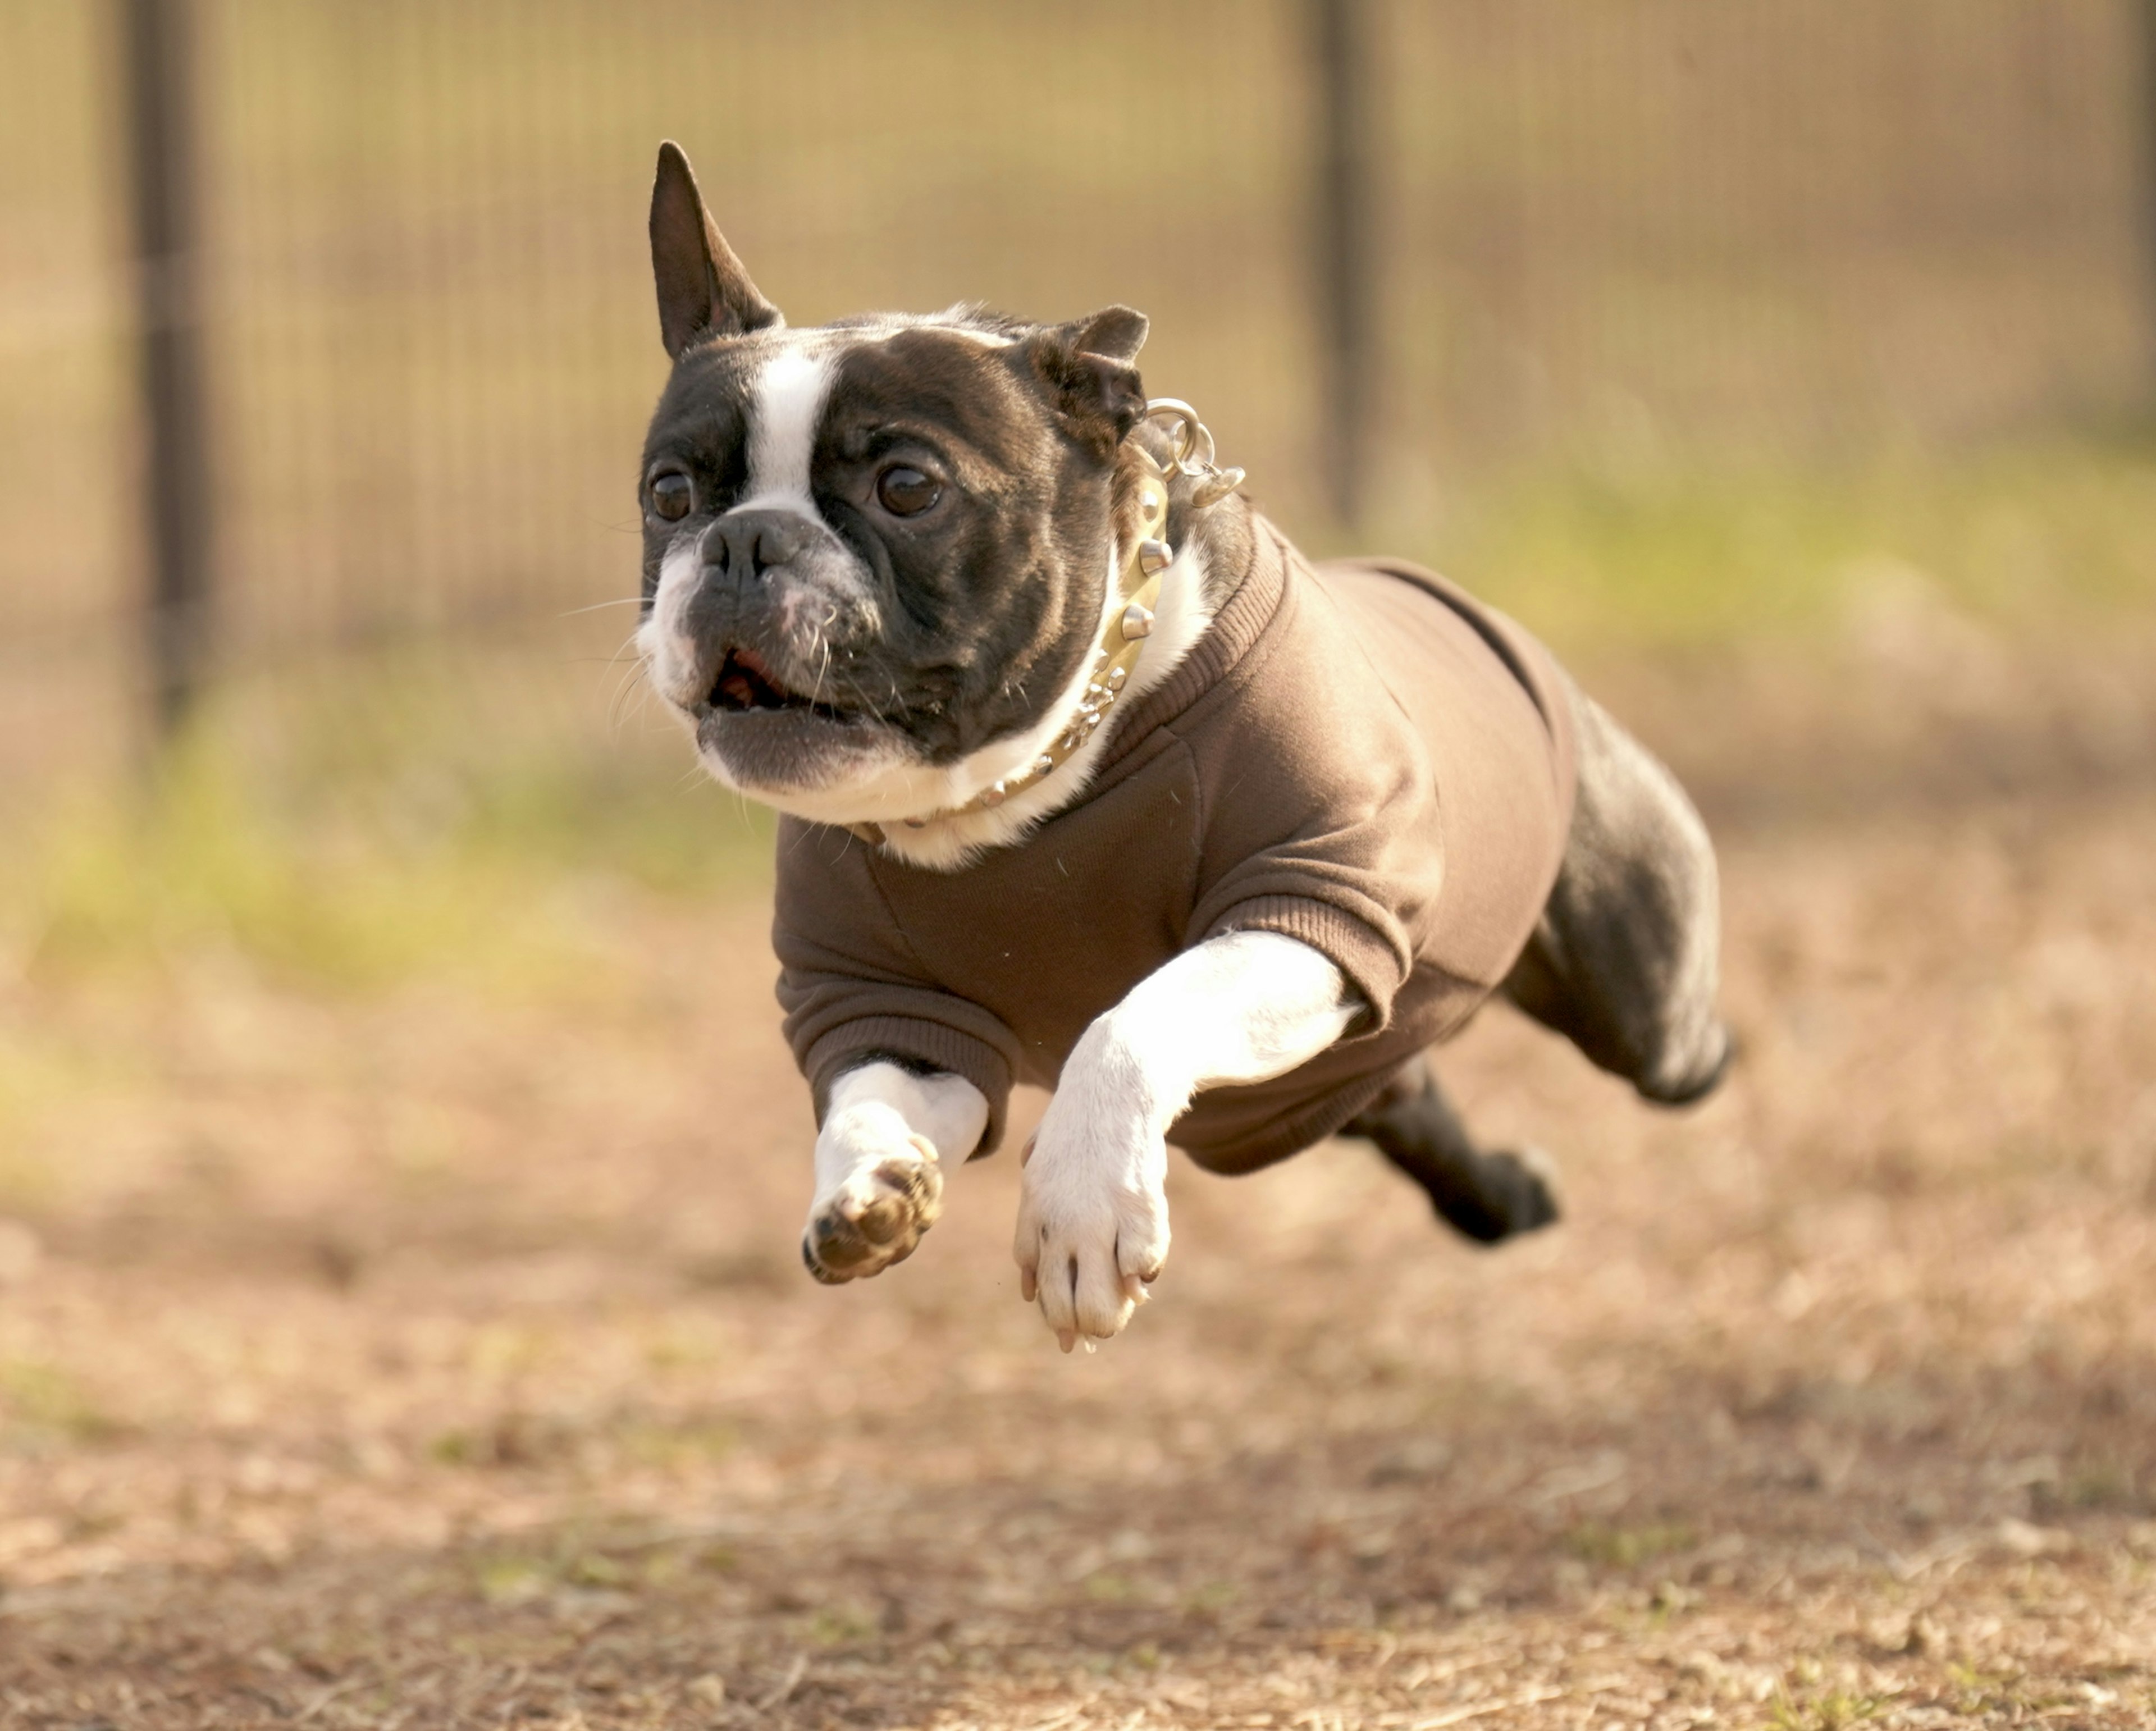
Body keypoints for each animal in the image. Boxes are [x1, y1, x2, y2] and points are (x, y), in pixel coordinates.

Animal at [629, 142, 1725, 1354]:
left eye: (907, 486)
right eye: (669, 493)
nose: (744, 542)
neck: (1022, 790)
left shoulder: (1312, 898)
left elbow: (1137, 1013)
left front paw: (1081, 1209)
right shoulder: (883, 1008)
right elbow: (863, 1107)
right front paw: (869, 1188)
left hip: (1642, 1001)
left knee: (1677, 1047)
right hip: (1342, 1085)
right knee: (1415, 1104)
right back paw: (1513, 1195)